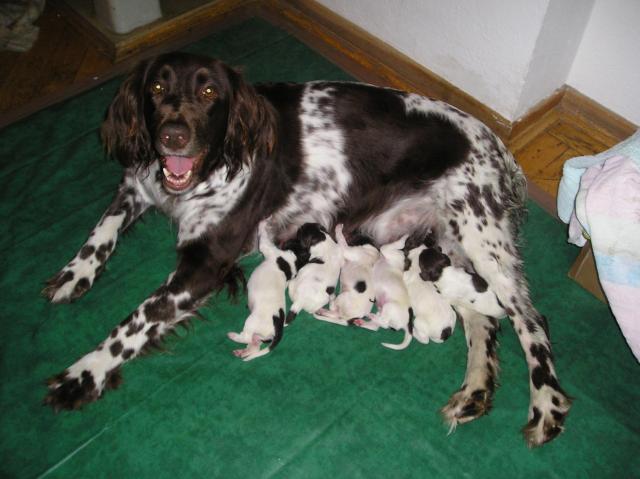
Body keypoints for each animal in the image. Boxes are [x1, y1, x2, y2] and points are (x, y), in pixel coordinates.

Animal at [228, 221, 298, 360]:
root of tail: (278, 327)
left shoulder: (268, 248)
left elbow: (263, 237)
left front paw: (263, 223)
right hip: (260, 336)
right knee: (254, 344)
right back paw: (242, 352)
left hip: (251, 322)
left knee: (246, 337)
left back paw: (233, 336)